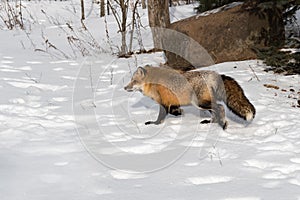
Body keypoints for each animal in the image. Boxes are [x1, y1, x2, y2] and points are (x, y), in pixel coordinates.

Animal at [124, 65, 255, 129]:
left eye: (133, 81)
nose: (125, 88)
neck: (153, 82)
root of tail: (216, 74)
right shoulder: (172, 101)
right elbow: (172, 110)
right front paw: (178, 113)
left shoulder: (164, 102)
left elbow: (161, 117)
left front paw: (155, 125)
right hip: (204, 103)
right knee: (216, 112)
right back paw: (212, 122)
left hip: (199, 103)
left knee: (220, 108)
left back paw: (223, 124)